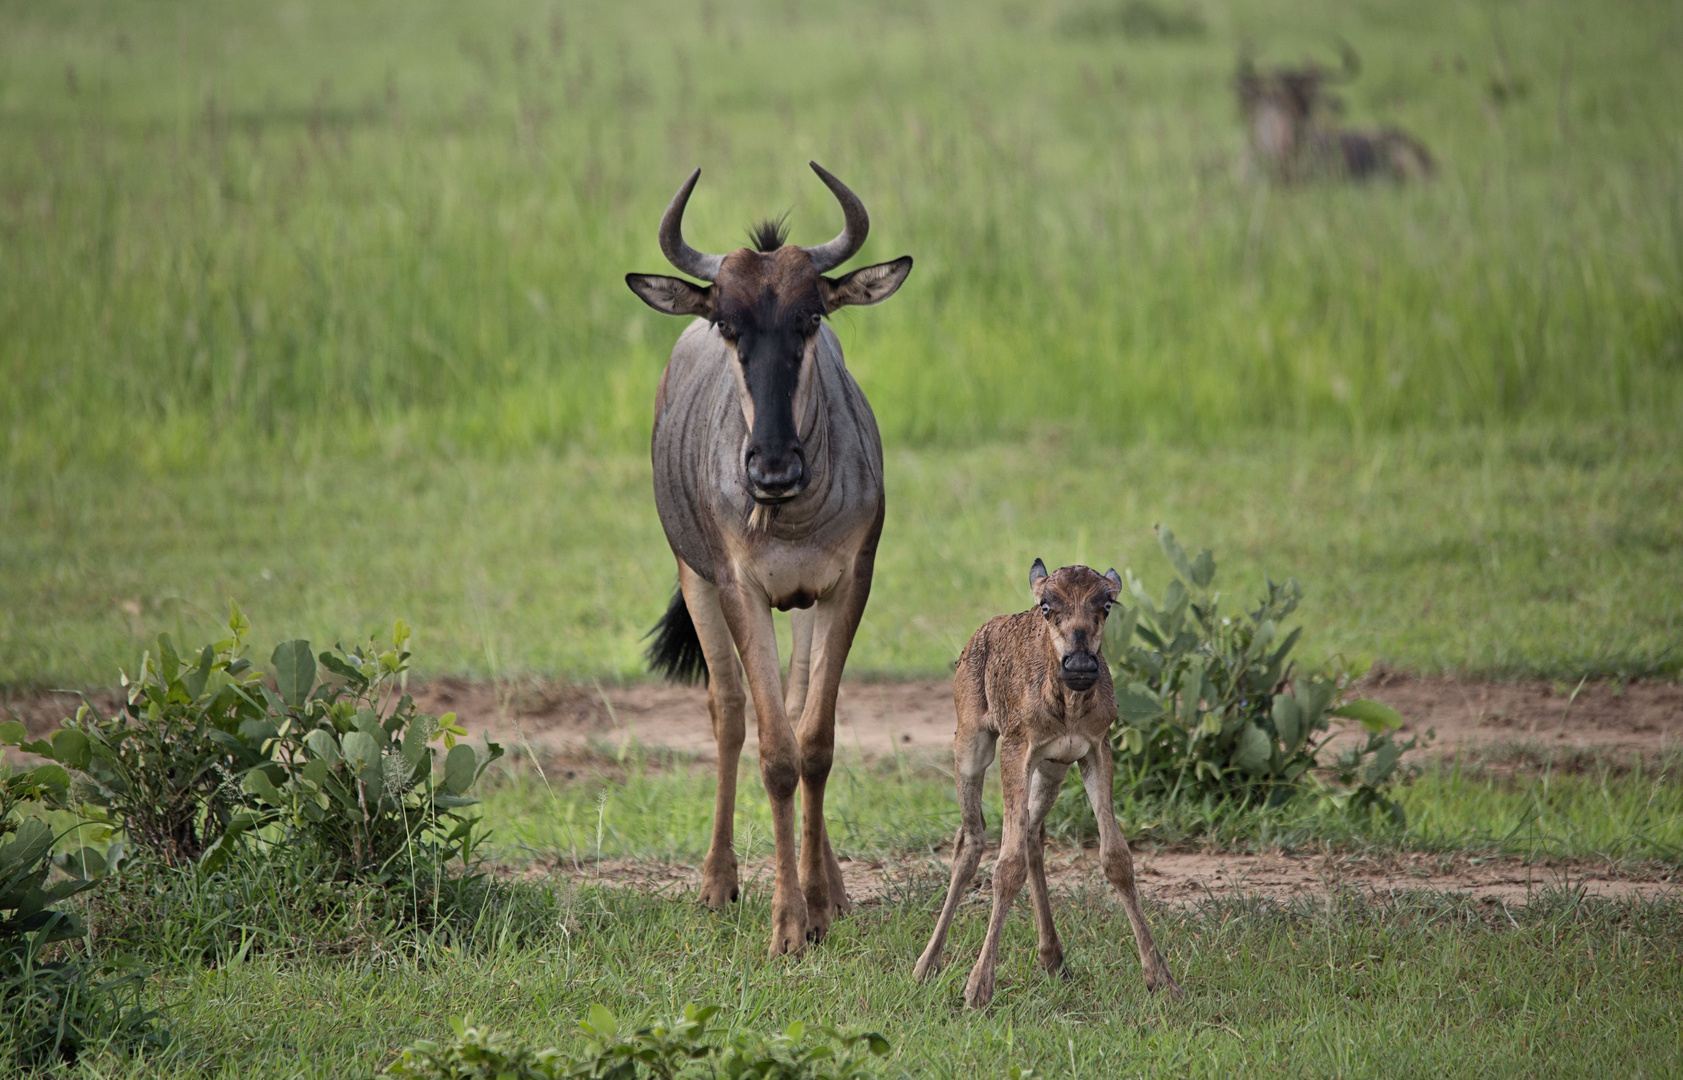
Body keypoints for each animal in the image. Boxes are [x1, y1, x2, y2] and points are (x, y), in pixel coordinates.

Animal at [915, 558, 1178, 1002]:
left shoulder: (1094, 748)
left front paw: (1160, 977)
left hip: (1053, 767)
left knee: (1032, 833)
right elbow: (1007, 866)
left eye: (1107, 604)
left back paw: (1053, 957)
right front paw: (978, 987)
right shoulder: (1016, 747)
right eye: (1045, 605)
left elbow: (1117, 858)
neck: (1069, 706)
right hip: (971, 742)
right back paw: (926, 963)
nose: (1080, 665)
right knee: (970, 838)